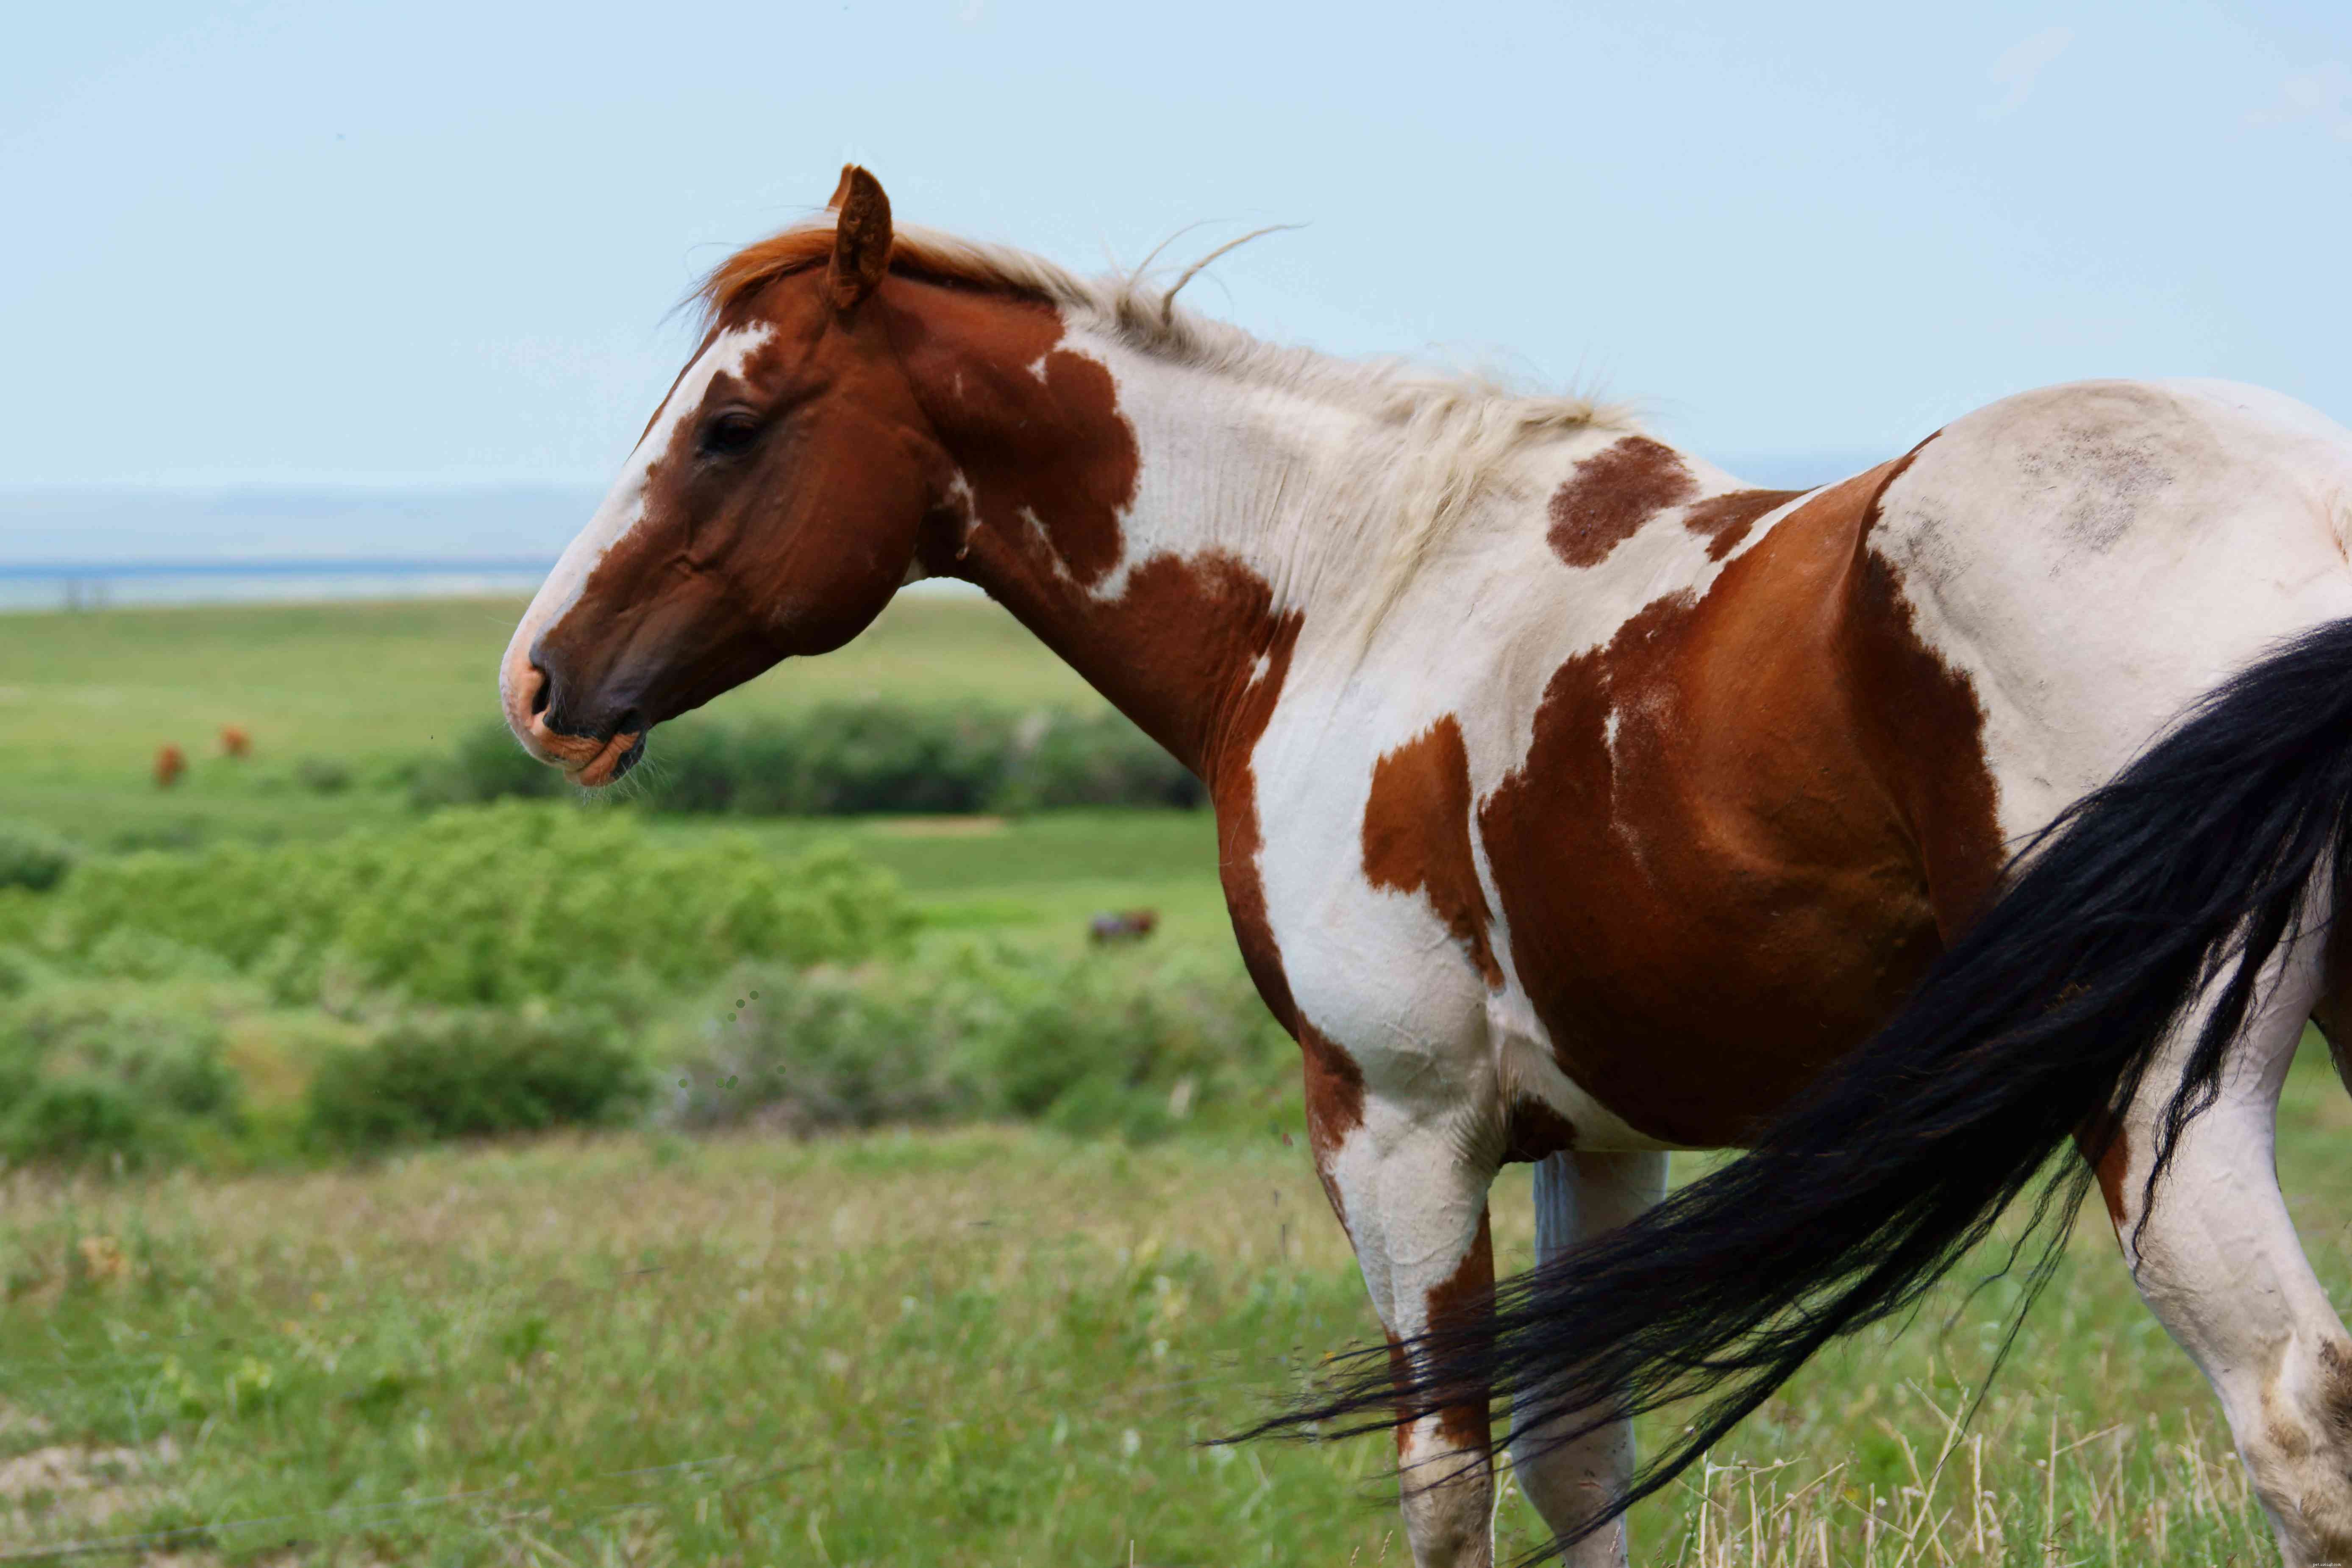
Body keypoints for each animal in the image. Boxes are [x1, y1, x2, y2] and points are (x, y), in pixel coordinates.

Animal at [501, 166, 2352, 1567]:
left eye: (731, 426)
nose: (536, 680)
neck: (1331, 596)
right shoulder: (1593, 1139)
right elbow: (1577, 1463)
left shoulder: (1398, 1127)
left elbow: (1446, 1475)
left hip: (2158, 1098)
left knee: (2289, 1411)